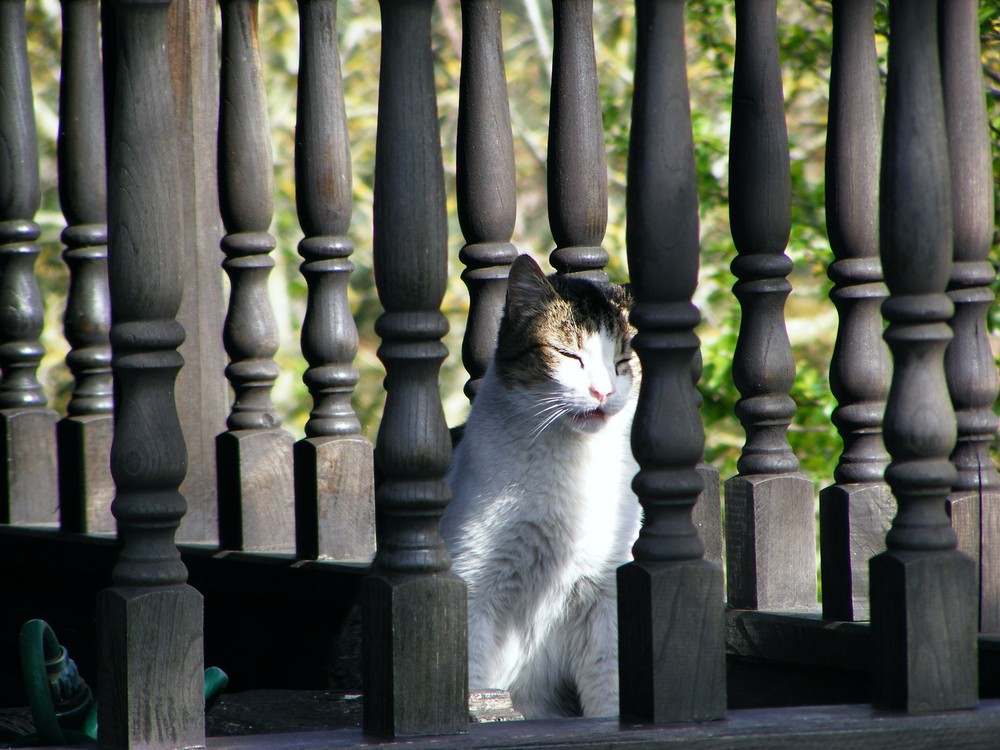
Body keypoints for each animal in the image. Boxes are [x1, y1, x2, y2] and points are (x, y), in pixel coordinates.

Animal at [444, 256, 640, 720]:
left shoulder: (608, 596)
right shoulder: (473, 584)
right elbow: (474, 681)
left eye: (623, 361)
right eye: (569, 355)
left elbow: (609, 690)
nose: (603, 391)